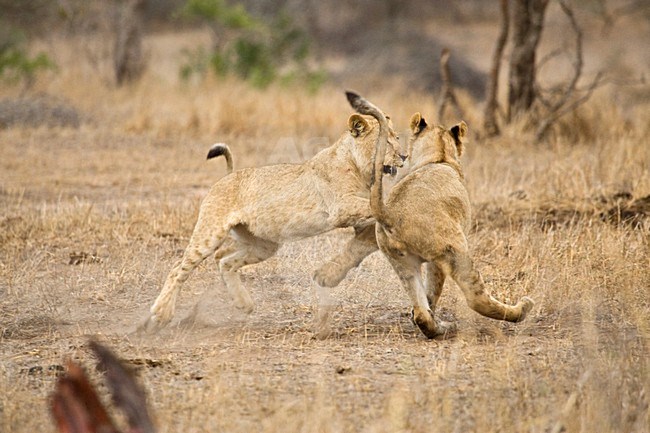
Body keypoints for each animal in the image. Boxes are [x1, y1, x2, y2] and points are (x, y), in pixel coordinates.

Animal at [344, 93, 532, 340]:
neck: (438, 158)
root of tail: (389, 213)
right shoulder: (440, 258)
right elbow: (434, 289)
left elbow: (427, 298)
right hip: (454, 250)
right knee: (476, 298)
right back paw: (521, 309)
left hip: (401, 263)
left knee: (421, 312)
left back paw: (440, 326)